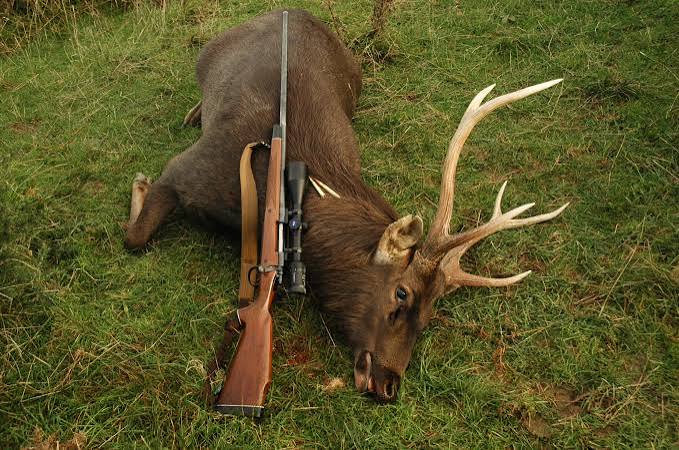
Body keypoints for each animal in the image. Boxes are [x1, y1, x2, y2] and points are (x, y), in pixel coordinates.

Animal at [124, 9, 568, 402]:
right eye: (401, 294)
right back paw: (192, 112)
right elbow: (135, 236)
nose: (388, 385)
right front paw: (140, 183)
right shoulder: (188, 168)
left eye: (429, 317)